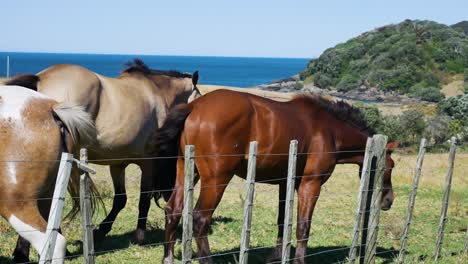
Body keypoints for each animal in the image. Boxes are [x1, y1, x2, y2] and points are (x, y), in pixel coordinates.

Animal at [151, 89, 398, 262]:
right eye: (392, 165)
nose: (389, 200)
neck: (329, 130)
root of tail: (194, 106)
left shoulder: (284, 183)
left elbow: (282, 220)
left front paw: (277, 256)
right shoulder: (311, 184)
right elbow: (303, 226)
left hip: (187, 172)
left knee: (173, 210)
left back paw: (167, 257)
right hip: (216, 179)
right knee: (200, 219)